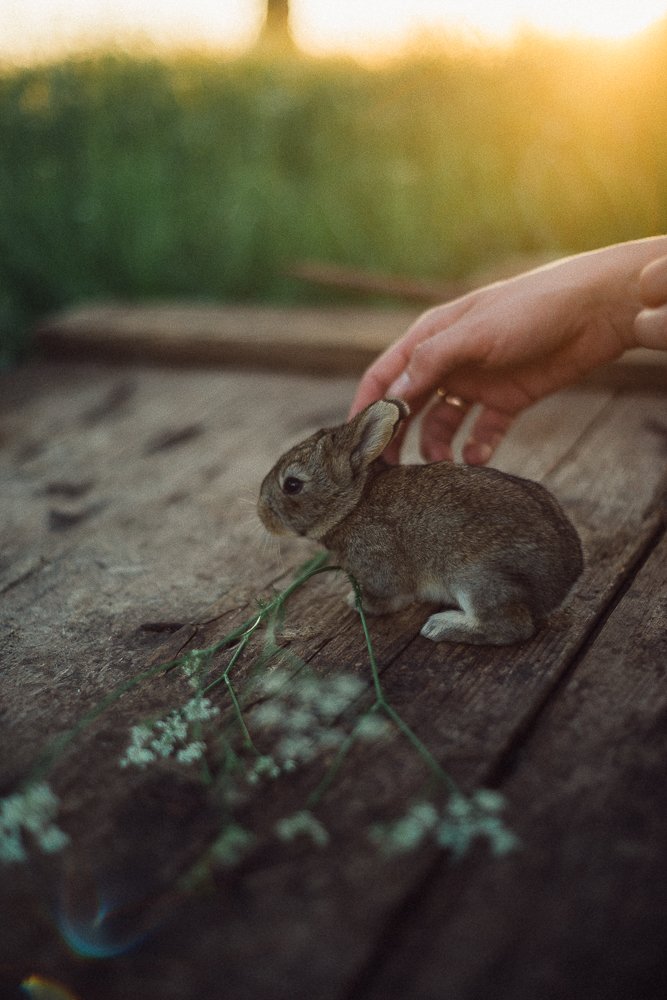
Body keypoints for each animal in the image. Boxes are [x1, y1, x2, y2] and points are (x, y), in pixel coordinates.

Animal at [257, 399, 583, 645]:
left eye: (292, 485)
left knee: (512, 626)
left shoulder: (379, 568)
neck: (353, 504)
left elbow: (388, 597)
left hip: (477, 578)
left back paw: (441, 626)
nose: (262, 514)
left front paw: (358, 602)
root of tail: (565, 579)